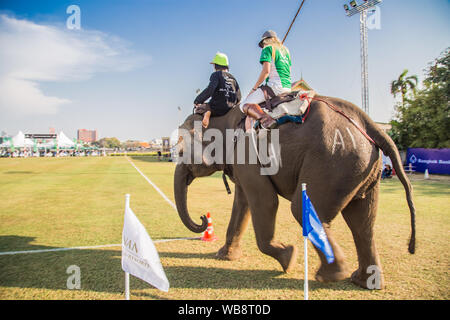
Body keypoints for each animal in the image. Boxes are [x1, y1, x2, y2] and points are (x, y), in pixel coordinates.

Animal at [172, 94, 414, 288]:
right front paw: (224, 256)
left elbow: (265, 202)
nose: (203, 217)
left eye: (181, 151)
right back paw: (364, 282)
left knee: (302, 209)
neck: (224, 117)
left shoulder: (248, 155)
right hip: (361, 167)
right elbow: (243, 204)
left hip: (333, 160)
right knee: (362, 223)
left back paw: (329, 275)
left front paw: (289, 258)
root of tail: (371, 124)